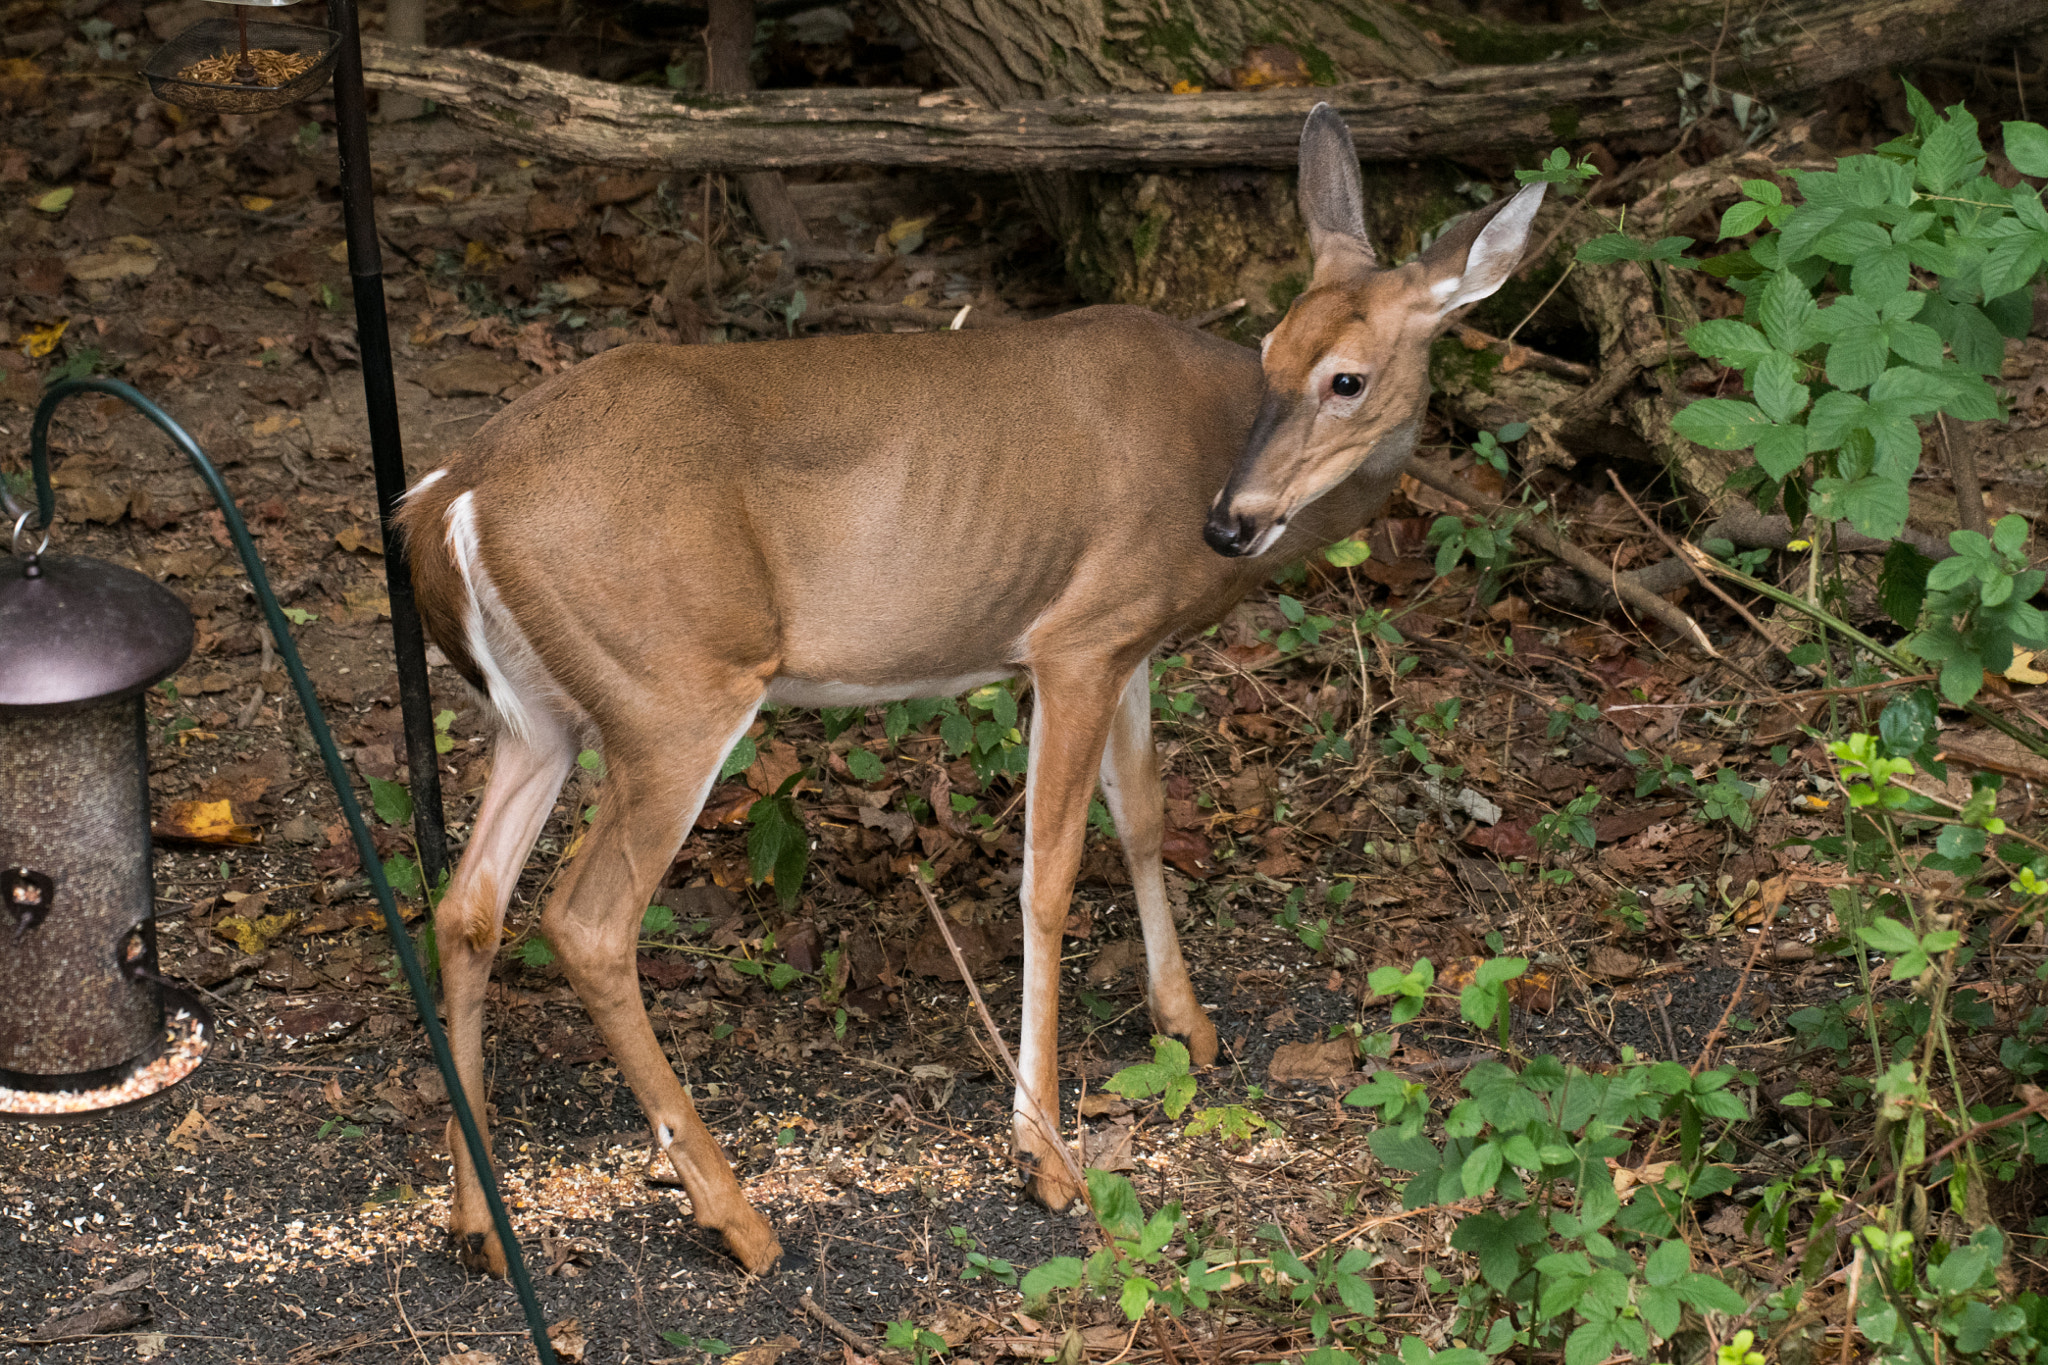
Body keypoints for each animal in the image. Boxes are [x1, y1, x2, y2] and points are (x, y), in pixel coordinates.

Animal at [395, 104, 1540, 1268]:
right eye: (1275, 356)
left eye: (1340, 375)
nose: (1231, 521)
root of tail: (448, 494)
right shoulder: (1076, 637)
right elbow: (1048, 876)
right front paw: (1044, 1155)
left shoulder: (1124, 641)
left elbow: (1143, 814)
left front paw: (1187, 1022)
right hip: (673, 689)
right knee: (585, 923)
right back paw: (734, 1215)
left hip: (542, 715)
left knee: (467, 905)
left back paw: (477, 1221)